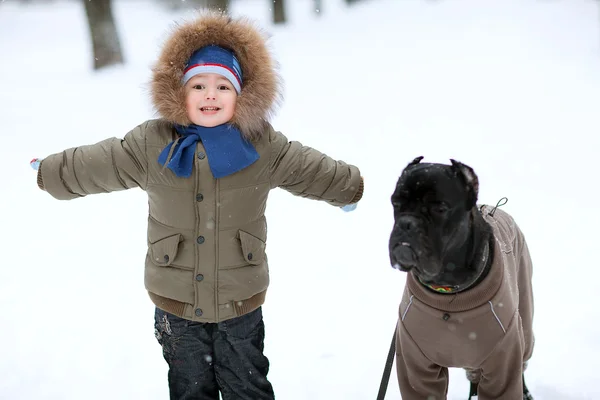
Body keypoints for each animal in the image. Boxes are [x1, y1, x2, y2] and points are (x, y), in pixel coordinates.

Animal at [390, 157, 536, 400]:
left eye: (440, 208)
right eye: (395, 203)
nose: (406, 223)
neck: (448, 288)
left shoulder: (503, 360)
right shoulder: (416, 367)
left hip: (524, 319)